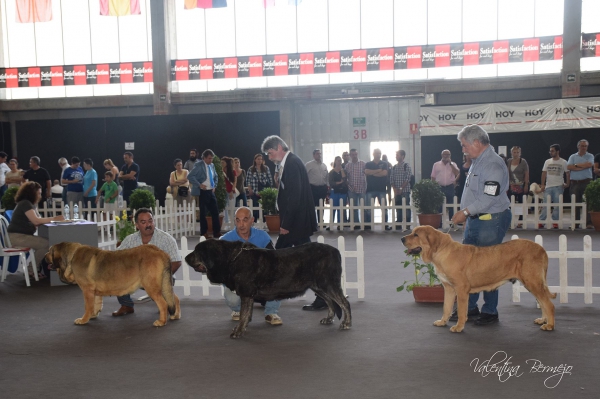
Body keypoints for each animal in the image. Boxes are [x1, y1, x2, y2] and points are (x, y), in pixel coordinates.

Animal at [46, 242, 180, 326]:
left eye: (49, 251)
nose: (44, 257)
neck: (72, 256)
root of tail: (160, 251)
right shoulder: (94, 292)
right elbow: (95, 305)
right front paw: (92, 315)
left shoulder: (87, 290)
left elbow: (87, 306)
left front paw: (84, 320)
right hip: (163, 285)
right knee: (174, 298)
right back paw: (175, 315)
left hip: (151, 287)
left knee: (163, 303)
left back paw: (161, 321)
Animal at [184, 239, 352, 340]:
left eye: (197, 251)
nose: (185, 258)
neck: (232, 259)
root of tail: (336, 251)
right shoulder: (248, 296)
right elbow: (247, 315)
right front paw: (242, 328)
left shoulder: (246, 293)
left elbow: (244, 314)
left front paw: (238, 331)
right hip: (319, 286)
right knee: (330, 302)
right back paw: (329, 318)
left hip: (328, 284)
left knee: (344, 303)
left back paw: (347, 323)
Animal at [400, 227, 556, 332]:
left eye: (416, 234)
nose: (402, 239)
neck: (441, 251)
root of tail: (541, 249)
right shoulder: (449, 288)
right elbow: (446, 307)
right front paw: (443, 322)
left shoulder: (461, 289)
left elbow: (461, 310)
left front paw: (458, 327)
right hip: (533, 283)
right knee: (542, 302)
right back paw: (542, 320)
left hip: (532, 281)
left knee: (548, 304)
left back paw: (549, 325)